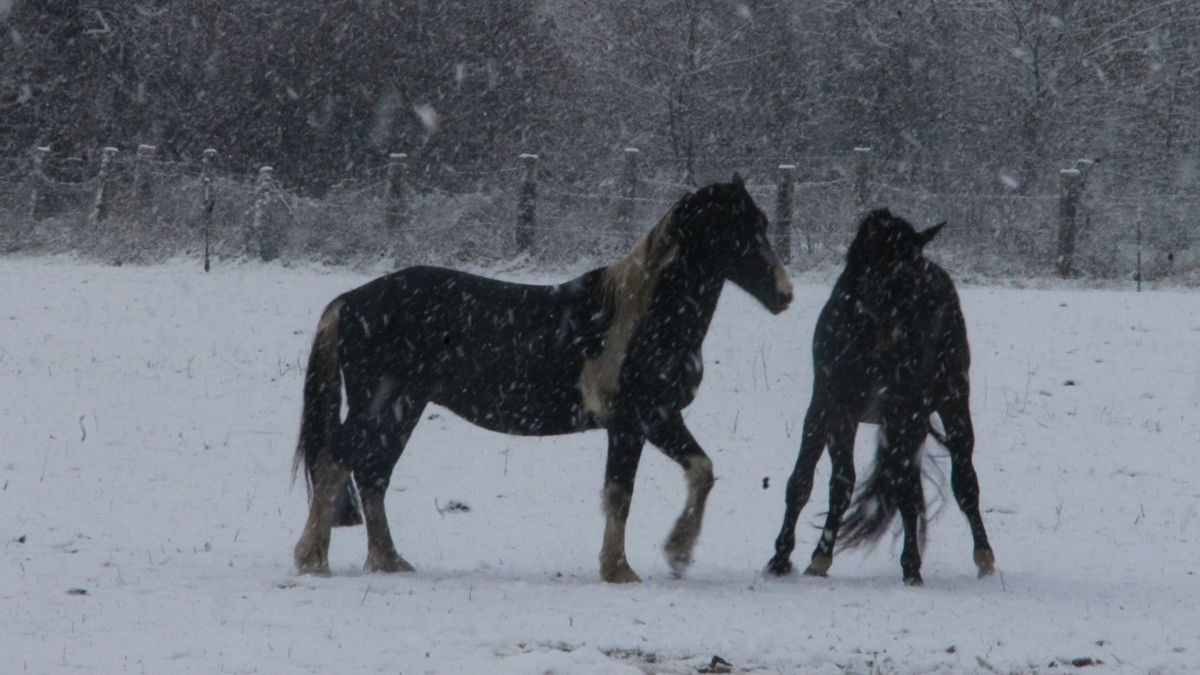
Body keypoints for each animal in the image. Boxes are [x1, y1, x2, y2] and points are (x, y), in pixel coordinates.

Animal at [294, 176, 792, 581]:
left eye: (763, 223)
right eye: (737, 228)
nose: (784, 294)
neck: (642, 317)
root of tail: (351, 300)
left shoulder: (651, 420)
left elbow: (691, 473)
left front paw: (669, 555)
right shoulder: (636, 421)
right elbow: (627, 492)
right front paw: (630, 566)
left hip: (403, 408)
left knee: (373, 474)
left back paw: (388, 561)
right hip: (380, 404)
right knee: (336, 463)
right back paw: (313, 559)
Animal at [768, 207, 993, 581]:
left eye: (914, 278)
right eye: (892, 276)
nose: (910, 344)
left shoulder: (904, 412)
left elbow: (903, 489)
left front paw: (910, 566)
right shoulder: (831, 409)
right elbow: (818, 482)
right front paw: (793, 557)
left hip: (950, 405)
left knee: (962, 482)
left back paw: (982, 556)